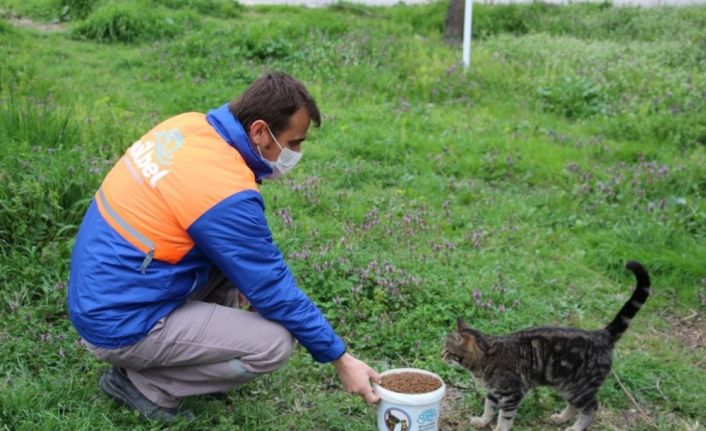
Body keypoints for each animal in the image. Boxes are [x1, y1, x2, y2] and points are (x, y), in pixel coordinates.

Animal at [442, 260, 652, 431]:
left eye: (446, 350)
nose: (440, 355)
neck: (486, 356)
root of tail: (601, 334)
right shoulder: (494, 392)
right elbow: (489, 408)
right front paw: (482, 421)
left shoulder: (511, 395)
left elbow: (504, 418)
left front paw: (499, 428)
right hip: (568, 386)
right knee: (574, 405)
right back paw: (562, 418)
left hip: (580, 388)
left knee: (591, 408)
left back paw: (576, 428)